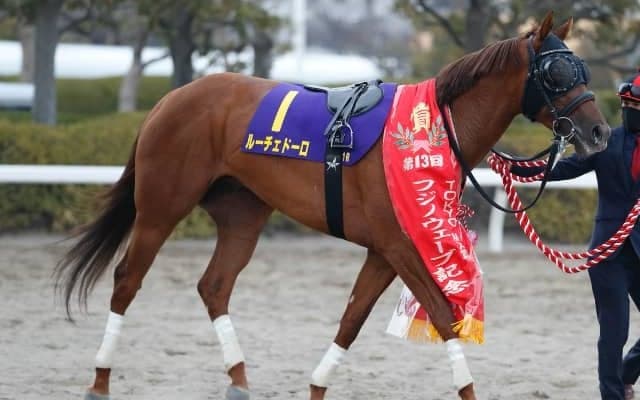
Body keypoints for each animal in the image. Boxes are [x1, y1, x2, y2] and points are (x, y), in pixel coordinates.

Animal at [55, 12, 610, 400]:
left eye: (582, 68)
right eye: (558, 73)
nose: (600, 131)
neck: (433, 132)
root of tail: (172, 98)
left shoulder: (383, 252)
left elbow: (351, 320)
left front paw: (318, 386)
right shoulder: (399, 246)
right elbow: (440, 312)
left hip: (243, 214)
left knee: (214, 285)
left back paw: (238, 378)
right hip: (161, 207)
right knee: (127, 279)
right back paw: (100, 380)